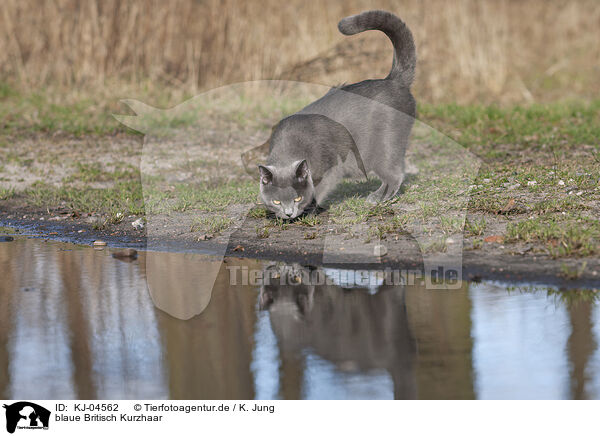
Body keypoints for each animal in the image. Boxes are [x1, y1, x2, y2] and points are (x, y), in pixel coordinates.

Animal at [258, 10, 418, 220]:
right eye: (276, 201)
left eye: (297, 198)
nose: (289, 213)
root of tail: (394, 80)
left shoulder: (332, 170)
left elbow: (319, 190)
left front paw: (308, 211)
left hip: (383, 148)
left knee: (395, 175)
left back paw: (376, 197)